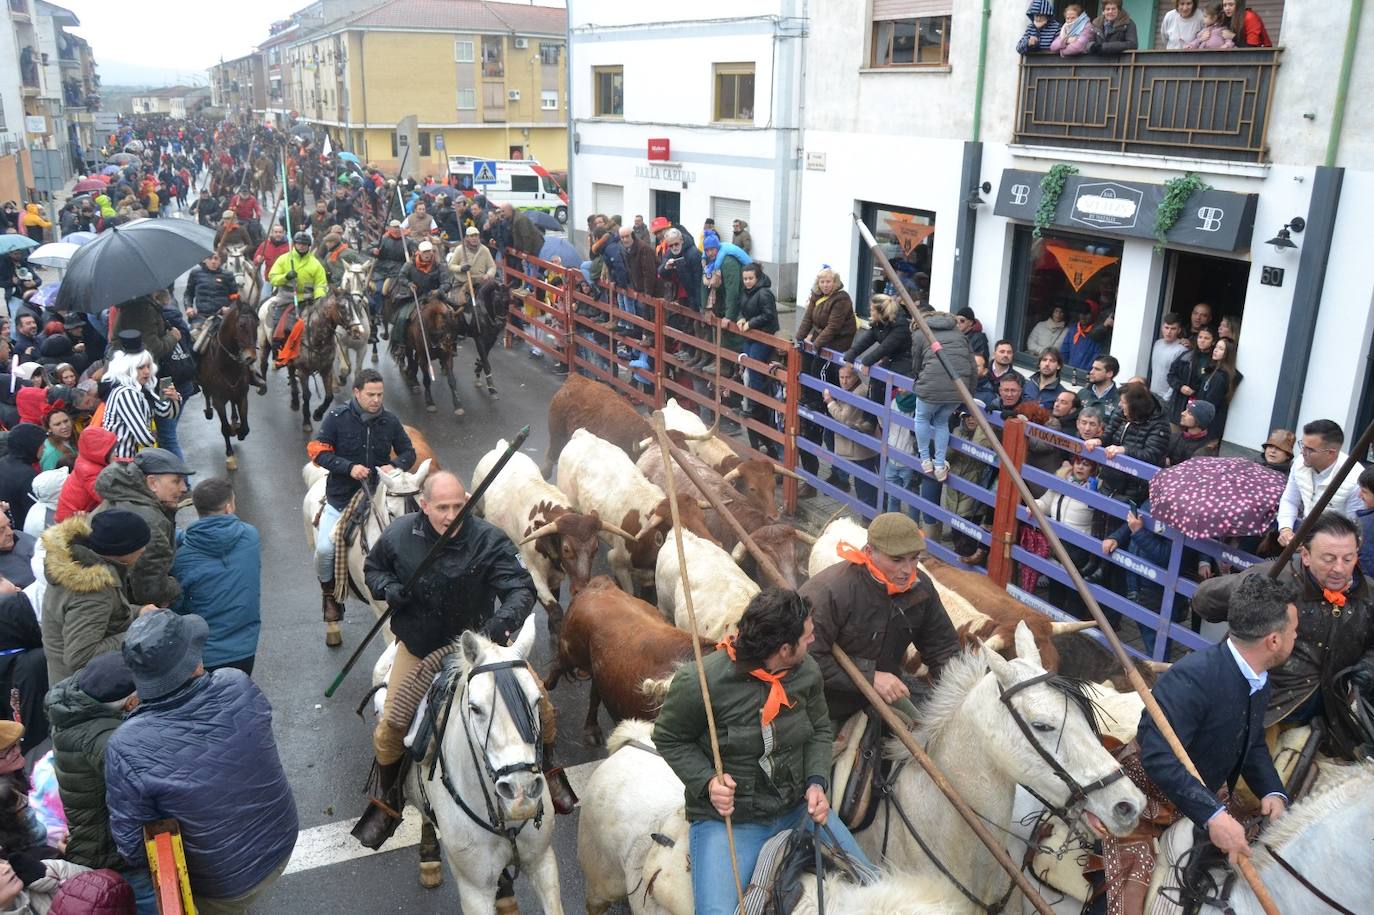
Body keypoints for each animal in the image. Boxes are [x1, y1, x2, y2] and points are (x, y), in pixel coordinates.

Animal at [199, 302, 262, 469]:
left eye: (257, 324)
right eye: (241, 325)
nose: (250, 358)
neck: (227, 365)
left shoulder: (242, 396)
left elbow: (246, 427)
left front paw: (239, 432)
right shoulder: (218, 401)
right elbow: (225, 428)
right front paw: (230, 456)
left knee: (232, 405)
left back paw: (234, 420)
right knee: (206, 394)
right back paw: (209, 412)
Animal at [287, 294, 343, 434]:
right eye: (343, 307)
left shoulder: (326, 369)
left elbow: (329, 396)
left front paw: (318, 413)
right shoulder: (303, 371)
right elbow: (307, 395)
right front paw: (307, 422)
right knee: (291, 374)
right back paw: (295, 401)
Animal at [541, 577, 714, 741]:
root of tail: (603, 584)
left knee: (595, 691)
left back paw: (592, 728)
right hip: (572, 650)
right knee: (558, 667)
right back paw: (545, 688)